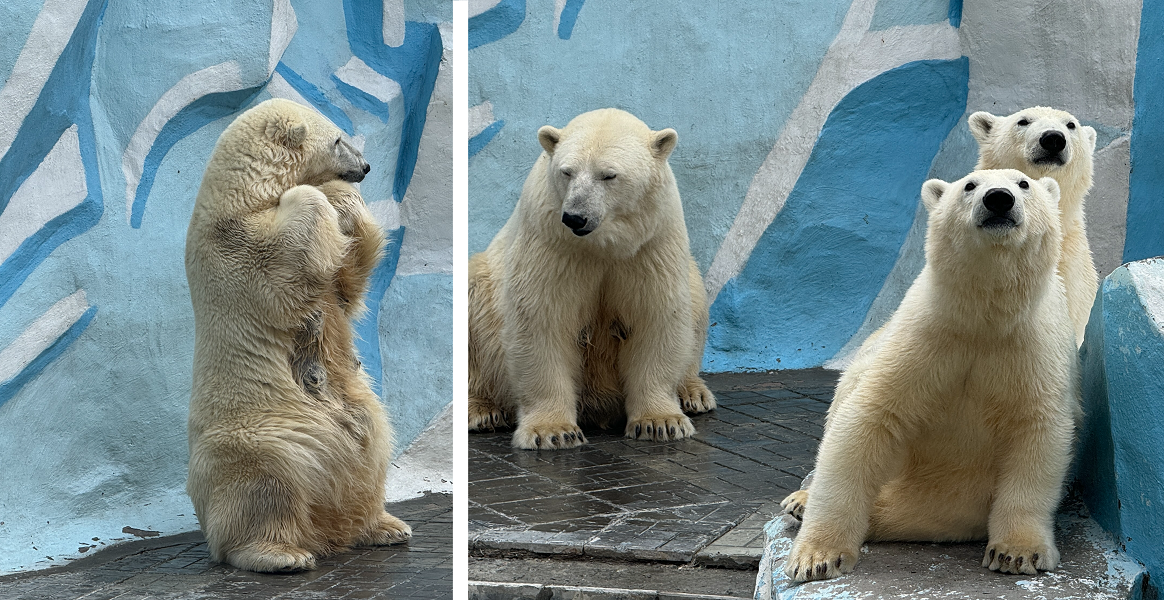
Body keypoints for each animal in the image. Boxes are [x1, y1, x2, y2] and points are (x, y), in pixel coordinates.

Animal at [185, 98, 409, 573]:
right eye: (339, 139)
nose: (365, 167)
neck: (244, 195)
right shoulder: (238, 249)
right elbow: (291, 262)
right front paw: (322, 194)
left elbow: (347, 283)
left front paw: (345, 202)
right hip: (256, 438)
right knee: (267, 484)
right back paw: (280, 553)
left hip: (362, 415)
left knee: (372, 449)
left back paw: (382, 526)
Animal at [467, 106, 712, 452]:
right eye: (567, 172)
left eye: (608, 175)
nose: (575, 217)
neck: (601, 244)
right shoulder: (553, 243)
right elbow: (543, 321)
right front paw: (553, 431)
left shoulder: (651, 243)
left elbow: (655, 317)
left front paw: (661, 422)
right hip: (484, 290)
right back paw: (482, 410)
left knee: (696, 300)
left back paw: (693, 393)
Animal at [782, 168, 1080, 582]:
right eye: (970, 185)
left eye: (1024, 184)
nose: (999, 199)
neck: (984, 318)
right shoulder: (925, 337)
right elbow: (868, 419)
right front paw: (816, 557)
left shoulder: (1032, 348)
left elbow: (1036, 431)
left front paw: (1018, 553)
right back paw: (800, 501)